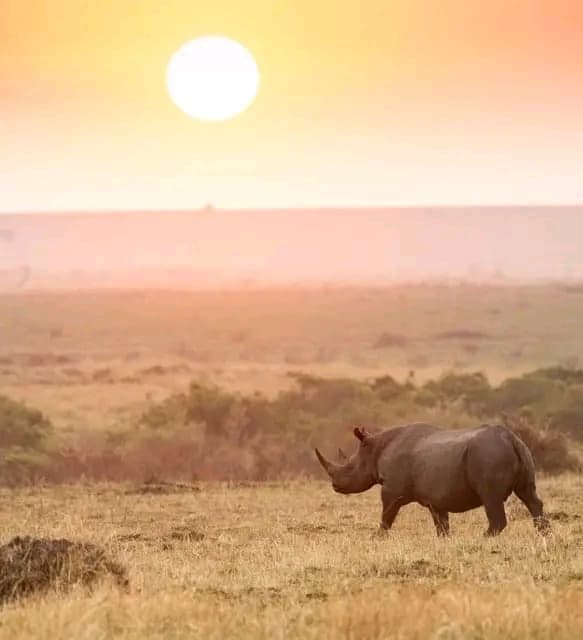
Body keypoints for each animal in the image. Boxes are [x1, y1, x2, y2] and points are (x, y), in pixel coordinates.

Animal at [315, 423, 550, 536]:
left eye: (349, 468)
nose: (335, 486)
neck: (375, 449)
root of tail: (511, 438)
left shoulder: (391, 490)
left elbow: (386, 516)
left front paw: (377, 538)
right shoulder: (436, 497)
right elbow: (441, 524)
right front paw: (445, 541)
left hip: (488, 455)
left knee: (490, 498)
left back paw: (482, 538)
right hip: (521, 451)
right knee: (529, 495)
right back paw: (544, 535)